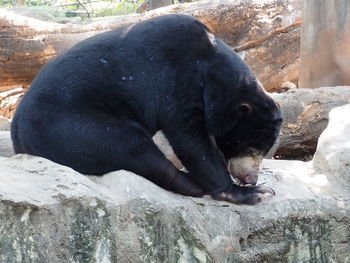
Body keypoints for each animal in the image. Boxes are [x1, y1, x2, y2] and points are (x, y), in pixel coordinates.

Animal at [11, 14, 282, 205]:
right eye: (251, 147)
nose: (250, 178)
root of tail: (17, 134)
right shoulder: (178, 85)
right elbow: (191, 140)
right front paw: (252, 192)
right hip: (70, 126)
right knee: (130, 145)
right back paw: (192, 184)